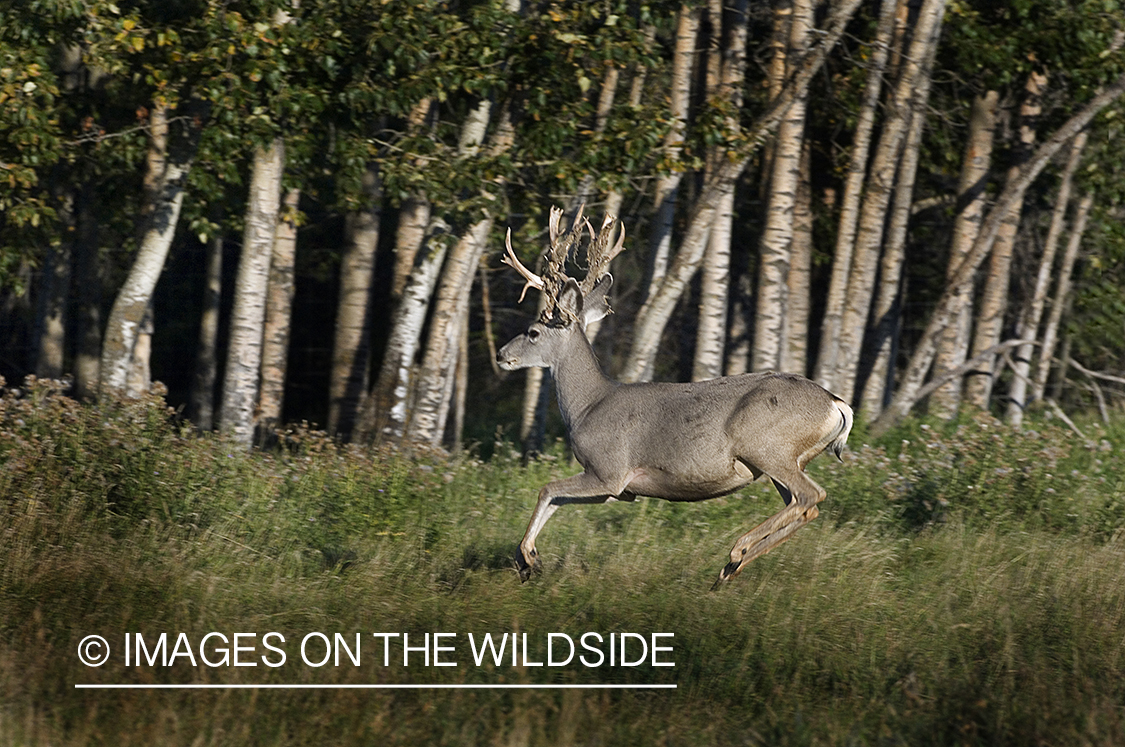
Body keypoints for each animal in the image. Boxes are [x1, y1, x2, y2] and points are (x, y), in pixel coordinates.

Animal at [497, 207, 855, 585]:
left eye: (533, 332)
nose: (501, 354)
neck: (588, 406)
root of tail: (836, 404)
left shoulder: (608, 469)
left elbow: (547, 489)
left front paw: (527, 557)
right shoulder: (618, 489)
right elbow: (556, 500)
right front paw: (530, 559)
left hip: (766, 446)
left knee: (811, 495)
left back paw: (736, 552)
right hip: (784, 459)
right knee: (804, 506)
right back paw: (732, 567)